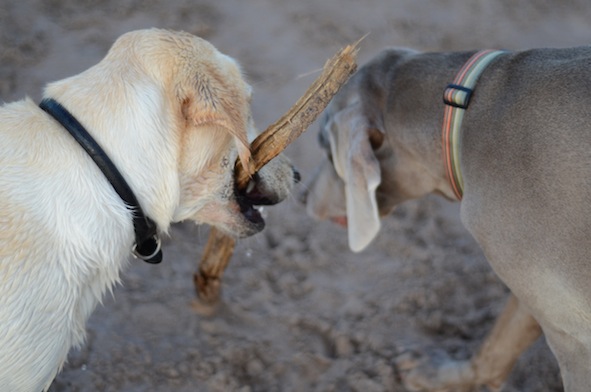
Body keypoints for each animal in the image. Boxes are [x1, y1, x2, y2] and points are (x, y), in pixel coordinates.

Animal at [300, 46, 591, 392]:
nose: (301, 195)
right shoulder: (540, 290)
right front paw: (438, 374)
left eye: (325, 148)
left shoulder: (572, 337)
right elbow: (494, 350)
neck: (466, 116)